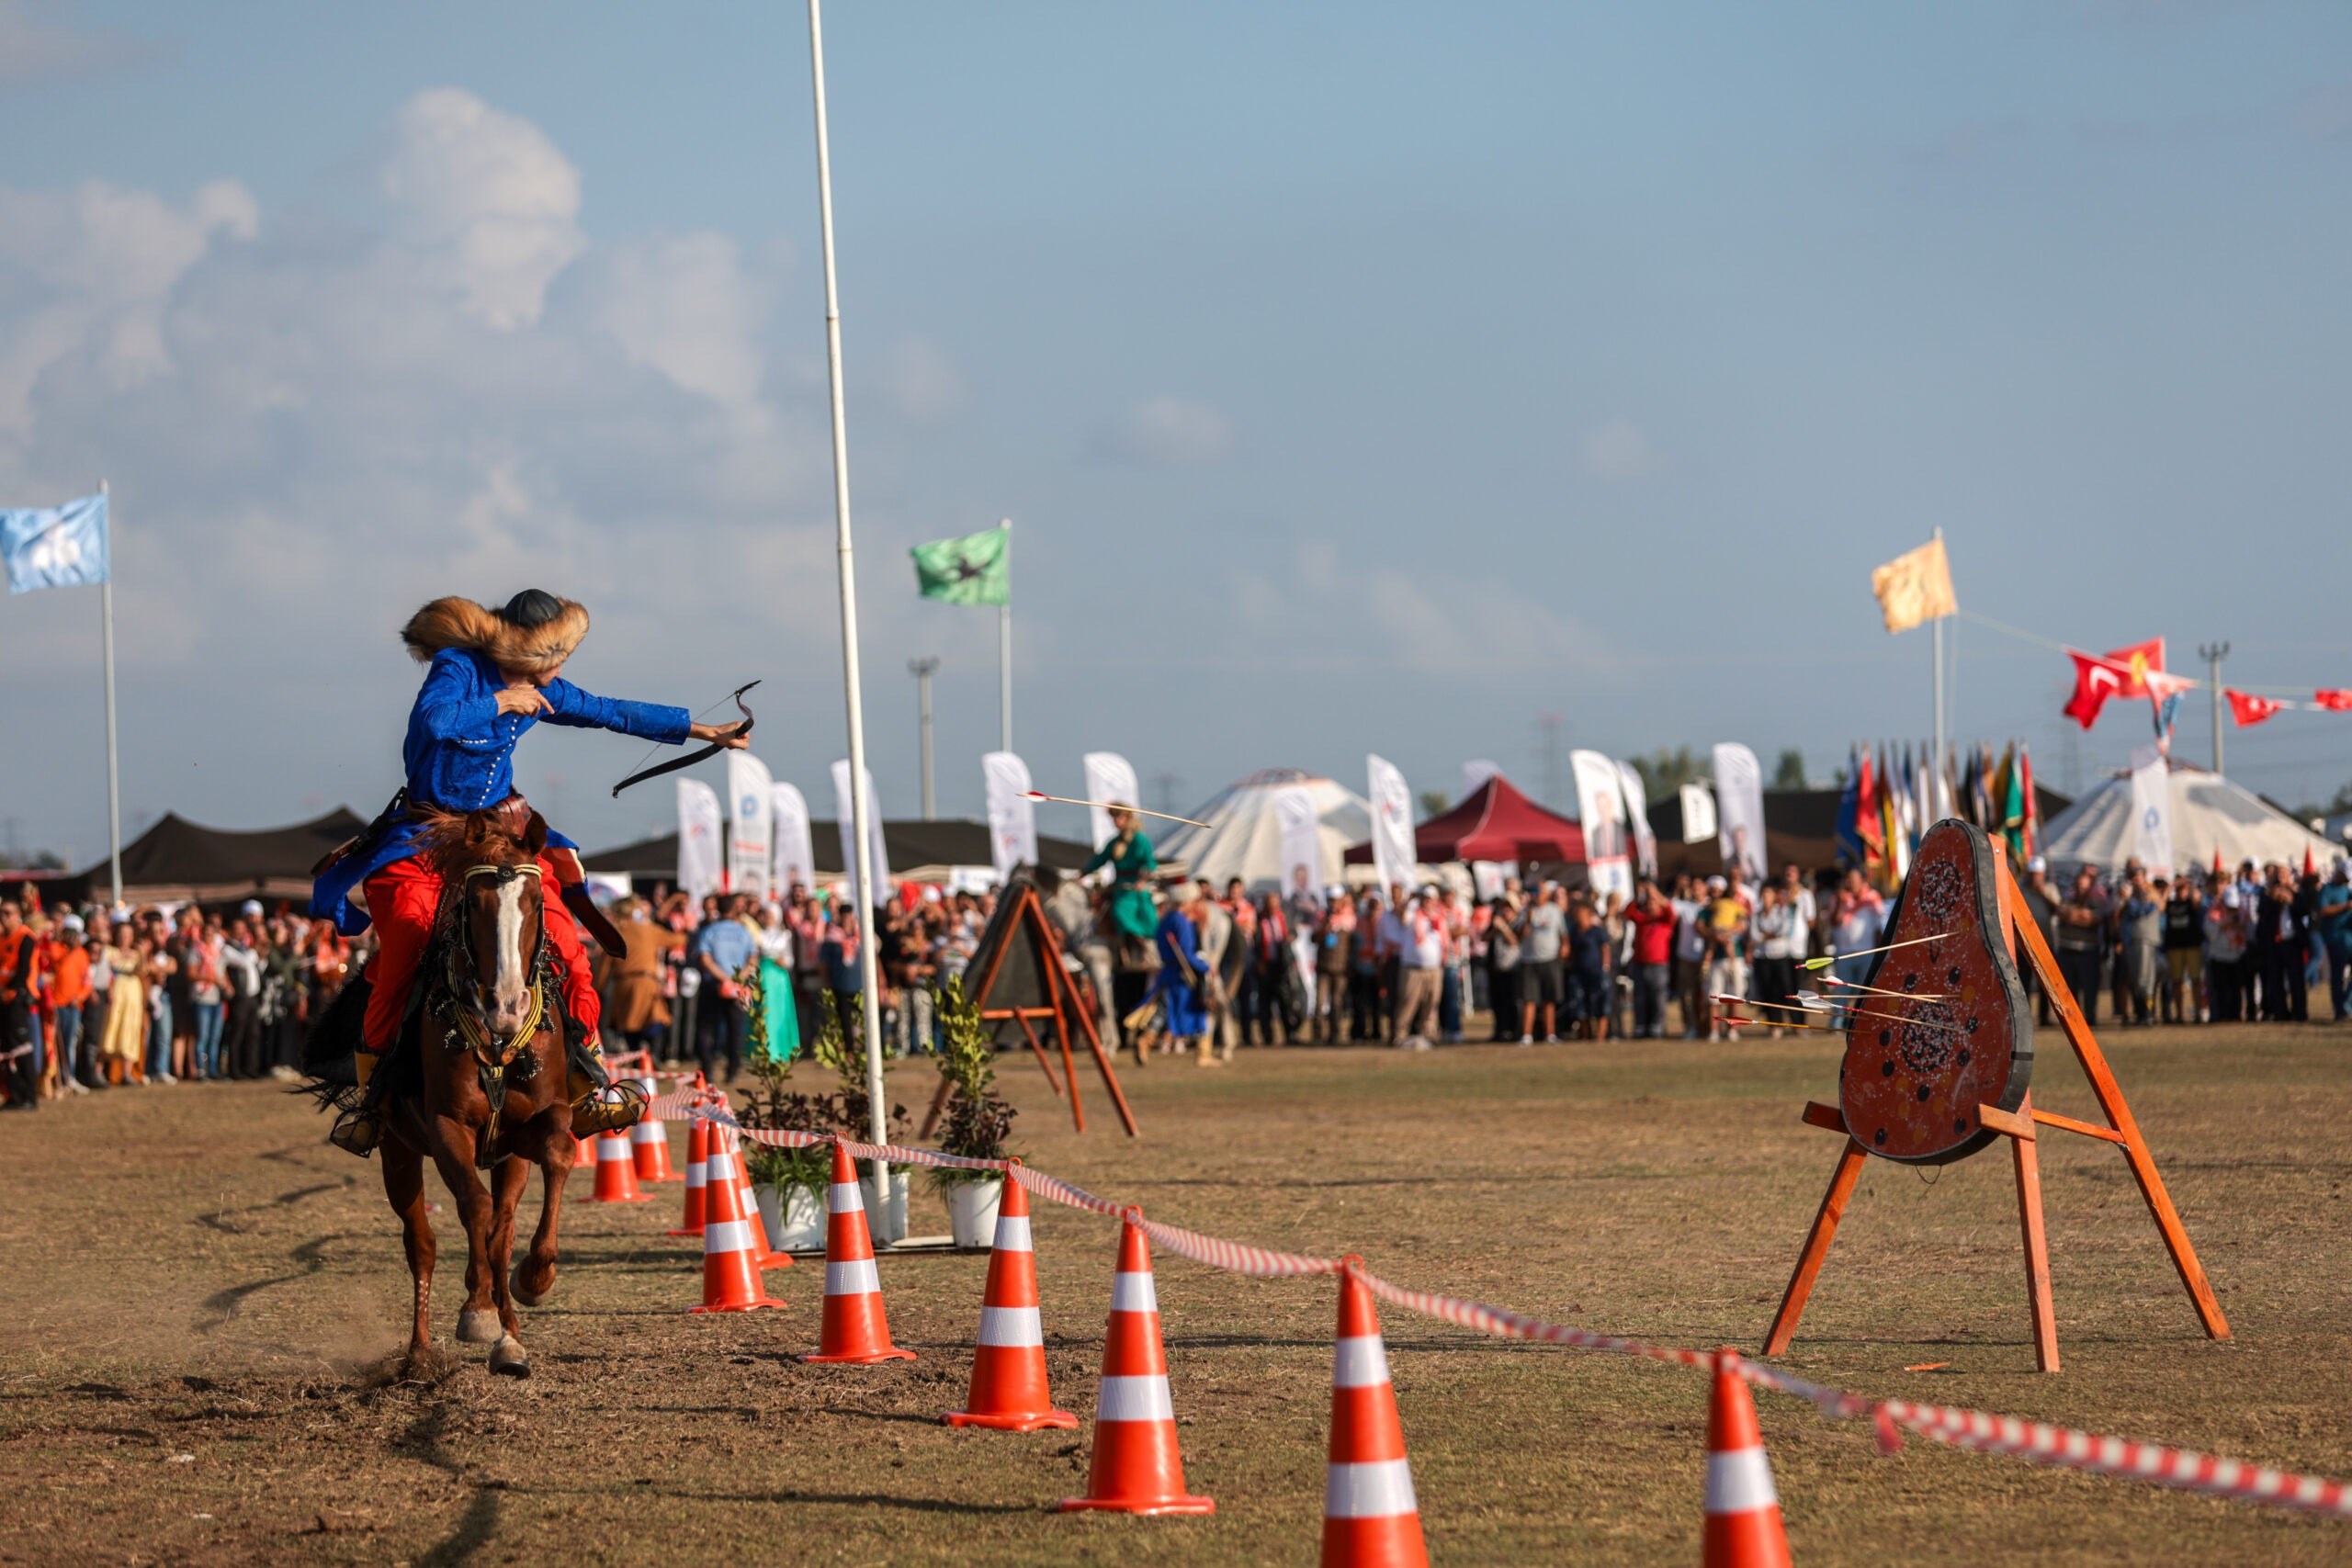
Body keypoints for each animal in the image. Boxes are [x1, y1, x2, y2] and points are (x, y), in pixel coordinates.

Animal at [380, 808, 578, 1372]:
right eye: (474, 903)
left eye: (536, 902)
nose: (506, 1004)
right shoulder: (447, 1126)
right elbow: (474, 1207)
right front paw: (480, 1314)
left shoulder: (540, 1120)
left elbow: (557, 1157)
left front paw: (534, 1279)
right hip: (396, 1151)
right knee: (423, 1243)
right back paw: (422, 1349)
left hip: (507, 1155)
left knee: (502, 1227)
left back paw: (507, 1329)